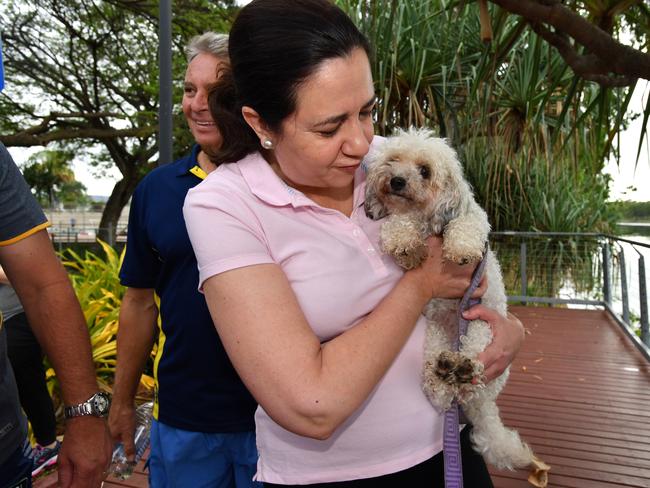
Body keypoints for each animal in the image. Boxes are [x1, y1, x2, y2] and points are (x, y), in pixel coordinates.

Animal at [364, 127, 548, 486]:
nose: (396, 181)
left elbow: (466, 226)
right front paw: (405, 243)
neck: (427, 220)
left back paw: (463, 369)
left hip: (481, 327)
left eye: (424, 171)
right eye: (393, 160)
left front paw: (459, 248)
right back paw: (445, 371)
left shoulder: (473, 220)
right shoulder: (401, 222)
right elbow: (397, 228)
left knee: (472, 375)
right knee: (443, 393)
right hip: (435, 338)